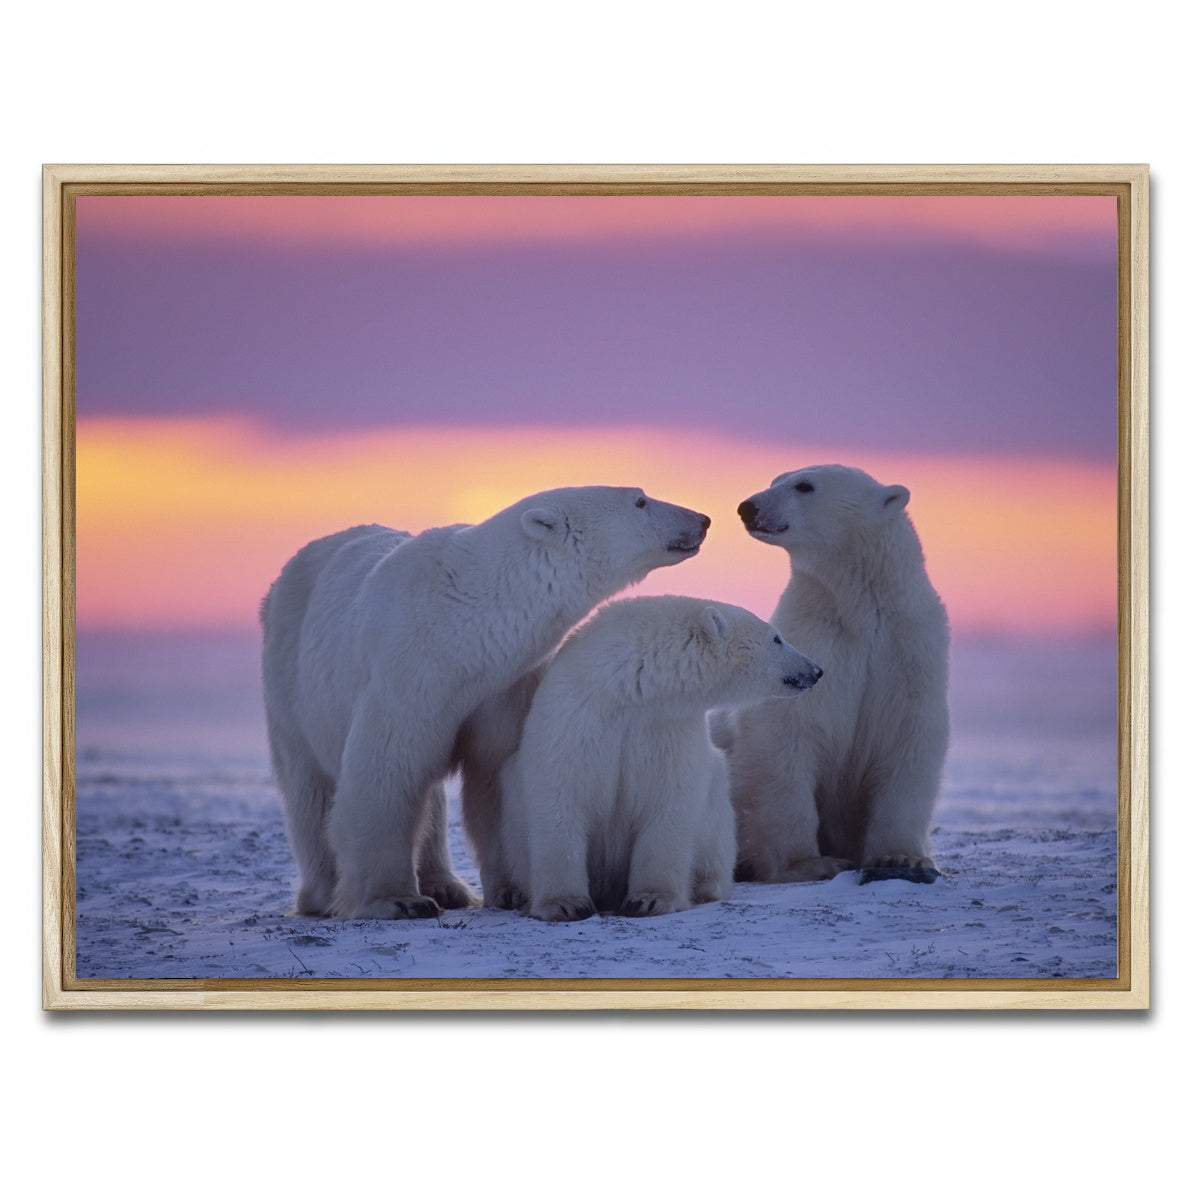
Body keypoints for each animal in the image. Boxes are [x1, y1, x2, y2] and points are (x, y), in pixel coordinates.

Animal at [259, 486, 711, 920]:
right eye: (640, 500)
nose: (702, 519)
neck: (463, 626)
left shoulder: (503, 685)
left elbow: (496, 774)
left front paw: (512, 890)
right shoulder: (406, 674)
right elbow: (386, 771)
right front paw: (398, 901)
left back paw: (447, 886)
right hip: (290, 681)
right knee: (309, 788)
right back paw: (323, 894)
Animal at [494, 595, 824, 921]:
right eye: (776, 638)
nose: (816, 670)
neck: (630, 689)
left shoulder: (667, 727)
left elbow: (669, 801)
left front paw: (649, 899)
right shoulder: (576, 715)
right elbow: (560, 796)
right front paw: (566, 904)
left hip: (716, 811)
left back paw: (705, 887)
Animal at [725, 464, 950, 883]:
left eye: (804, 485)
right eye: (775, 479)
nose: (748, 507)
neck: (859, 611)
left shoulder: (908, 651)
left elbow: (909, 738)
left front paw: (900, 857)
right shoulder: (813, 643)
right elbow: (786, 735)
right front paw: (810, 862)